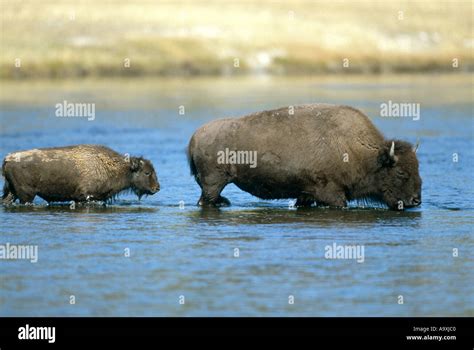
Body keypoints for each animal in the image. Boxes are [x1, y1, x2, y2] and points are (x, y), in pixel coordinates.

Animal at [0, 145, 161, 205]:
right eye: (147, 172)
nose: (157, 188)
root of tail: (8, 159)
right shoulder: (85, 197)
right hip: (26, 196)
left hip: (12, 193)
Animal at [188, 104, 422, 211]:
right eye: (401, 173)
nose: (416, 201)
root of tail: (195, 136)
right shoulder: (331, 193)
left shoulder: (306, 193)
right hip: (214, 182)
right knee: (207, 199)